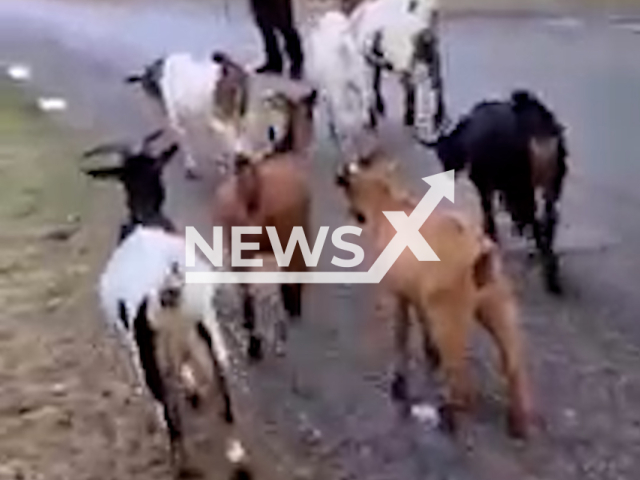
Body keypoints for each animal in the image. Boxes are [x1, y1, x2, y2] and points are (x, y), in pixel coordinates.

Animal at [84, 134, 254, 480]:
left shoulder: (136, 340)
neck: (144, 218)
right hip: (207, 327)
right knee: (222, 387)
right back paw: (237, 457)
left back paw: (183, 463)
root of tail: (166, 281)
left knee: (166, 402)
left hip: (151, 345)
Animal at [428, 89, 568, 292]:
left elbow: (487, 207)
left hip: (523, 182)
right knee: (549, 217)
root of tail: (539, 128)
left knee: (533, 217)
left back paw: (546, 269)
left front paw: (491, 235)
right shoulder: (505, 186)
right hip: (553, 181)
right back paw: (550, 268)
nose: (447, 173)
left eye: (441, 151)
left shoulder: (484, 181)